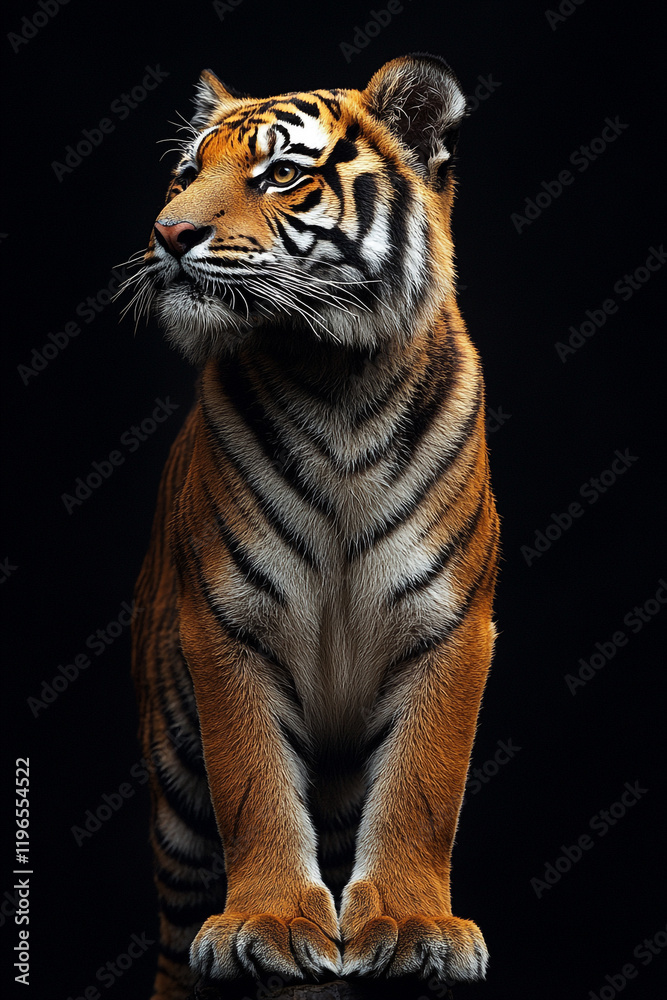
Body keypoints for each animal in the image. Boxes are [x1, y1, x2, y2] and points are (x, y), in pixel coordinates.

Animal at [128, 53, 500, 1000]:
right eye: (186, 173)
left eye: (281, 174)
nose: (167, 233)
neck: (337, 382)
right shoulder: (225, 620)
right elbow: (252, 782)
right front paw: (267, 925)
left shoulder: (451, 623)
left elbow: (424, 786)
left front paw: (409, 926)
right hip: (173, 787)